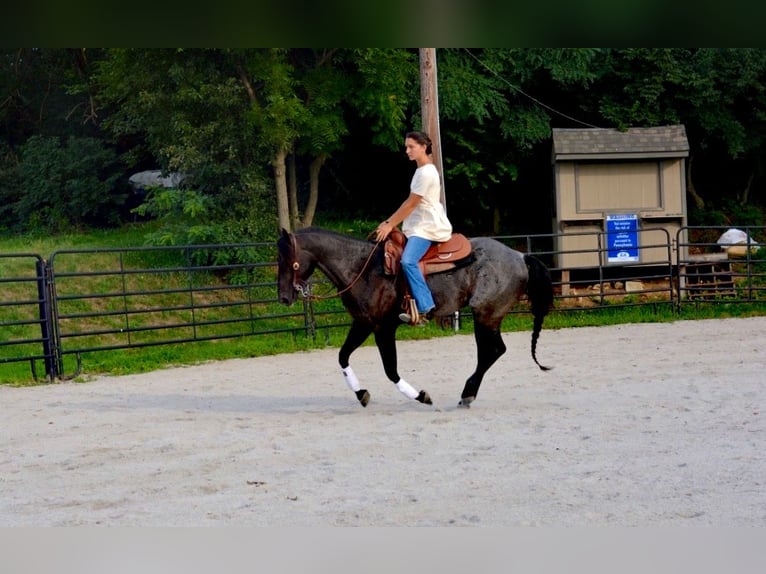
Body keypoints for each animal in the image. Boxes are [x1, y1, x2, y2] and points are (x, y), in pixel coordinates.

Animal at [280, 228, 556, 410]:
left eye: (286, 259)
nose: (283, 297)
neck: (362, 268)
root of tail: (520, 257)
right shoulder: (363, 323)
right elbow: (342, 356)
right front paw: (361, 394)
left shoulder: (383, 328)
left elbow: (390, 369)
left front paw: (420, 396)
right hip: (488, 317)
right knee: (492, 351)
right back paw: (468, 393)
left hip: (485, 315)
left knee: (492, 351)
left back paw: (467, 394)